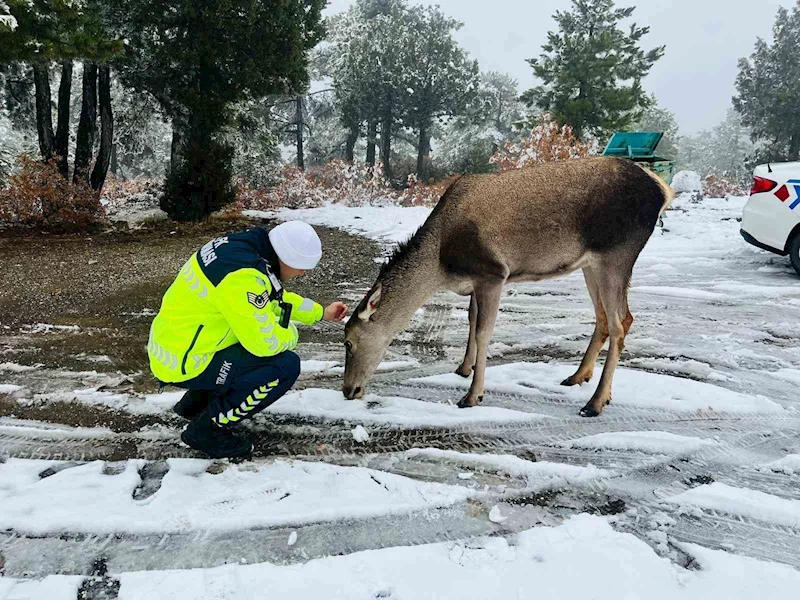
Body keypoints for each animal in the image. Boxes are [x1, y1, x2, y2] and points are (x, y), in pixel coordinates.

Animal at [340, 156, 672, 418]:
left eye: (349, 342)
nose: (347, 390)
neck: (441, 264)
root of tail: (662, 190)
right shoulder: (475, 282)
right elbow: (471, 321)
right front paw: (463, 369)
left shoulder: (493, 273)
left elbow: (484, 332)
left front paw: (472, 396)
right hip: (590, 264)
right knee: (605, 317)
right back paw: (578, 376)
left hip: (616, 254)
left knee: (621, 322)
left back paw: (596, 402)